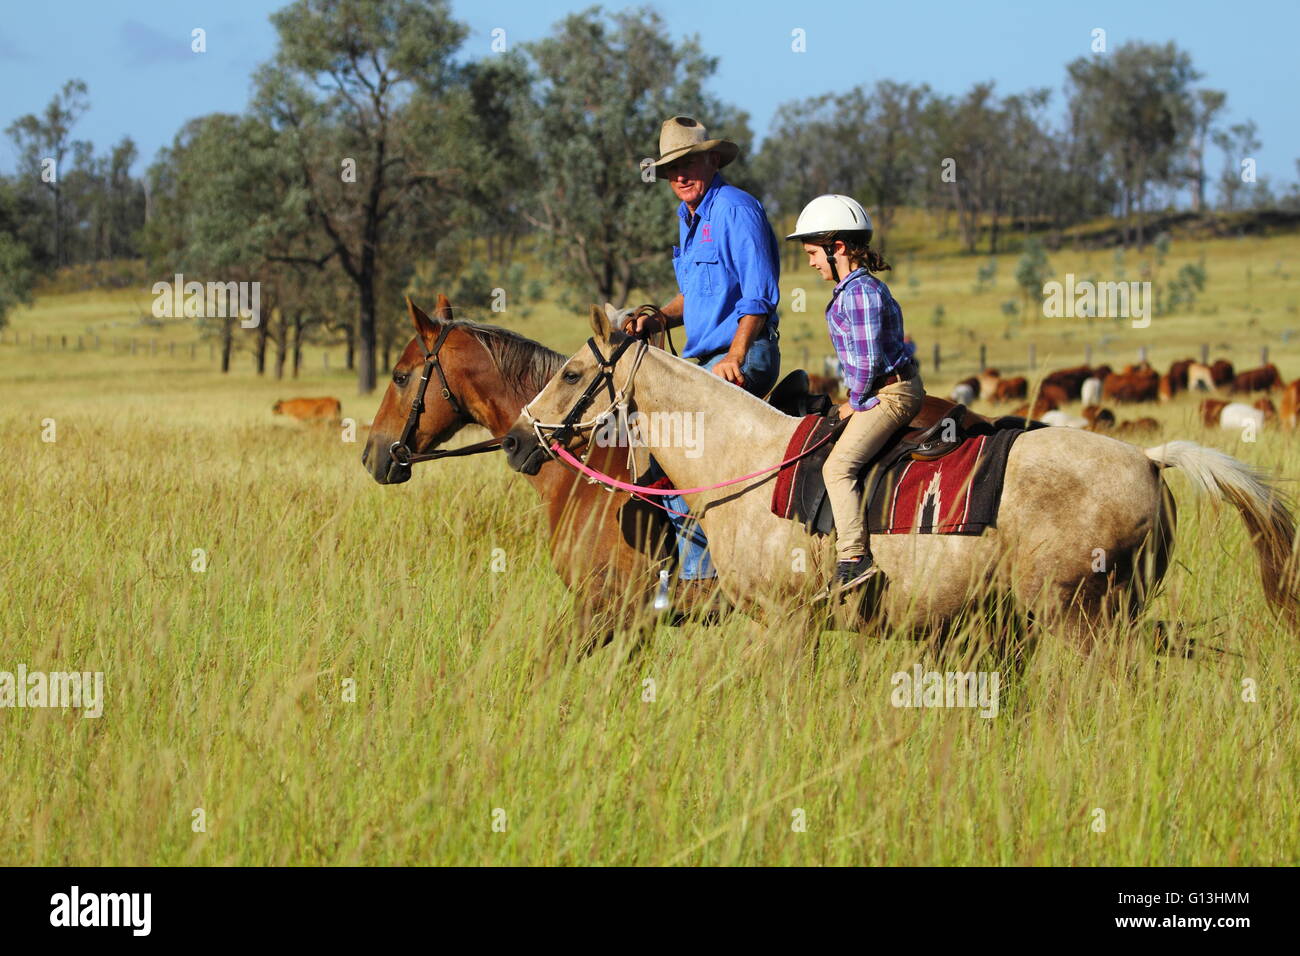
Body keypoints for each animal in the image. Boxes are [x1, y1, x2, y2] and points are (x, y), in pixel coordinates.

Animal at [499, 310, 1300, 642]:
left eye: (569, 372)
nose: (515, 440)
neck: (744, 460)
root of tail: (1148, 458)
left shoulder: (785, 621)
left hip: (1076, 613)